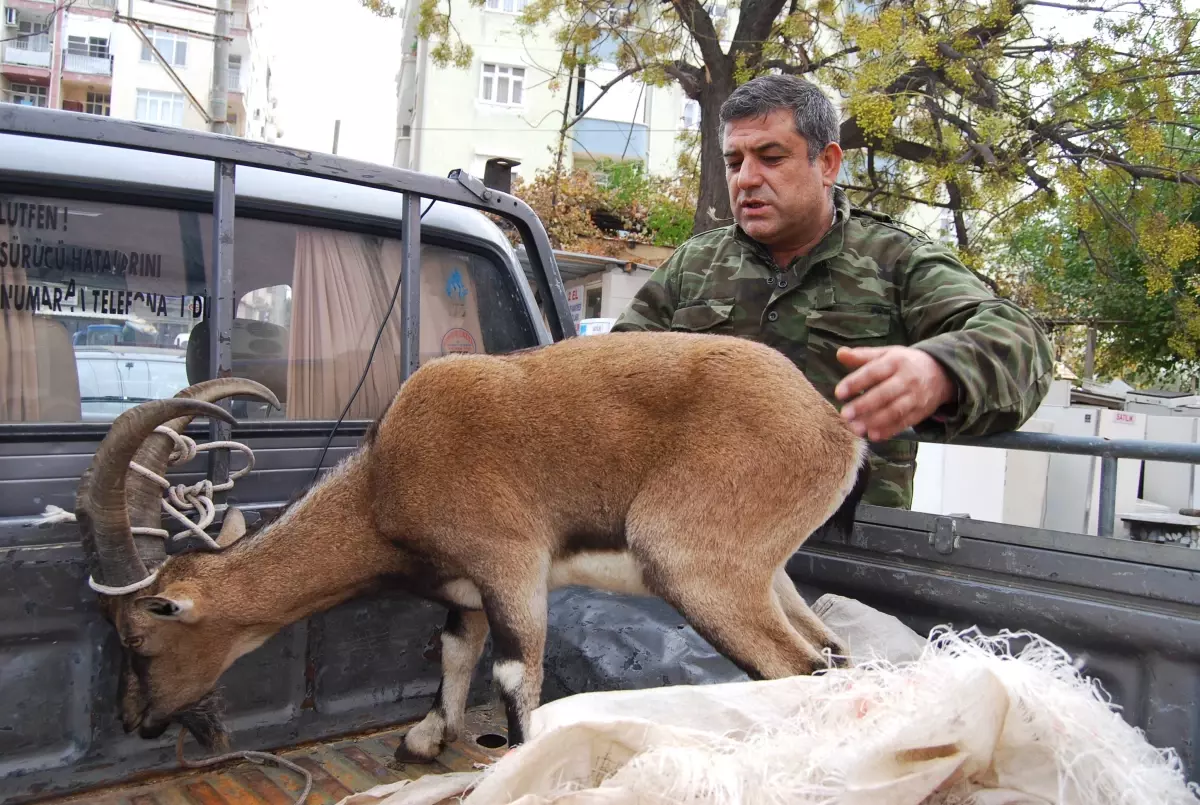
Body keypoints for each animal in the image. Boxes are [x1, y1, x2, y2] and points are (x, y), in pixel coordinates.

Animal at [75, 331, 868, 763]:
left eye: (139, 636)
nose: (135, 721)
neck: (383, 484)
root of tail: (834, 429)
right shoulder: (468, 590)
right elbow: (455, 652)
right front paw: (426, 738)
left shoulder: (509, 561)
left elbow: (514, 676)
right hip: (769, 573)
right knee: (834, 652)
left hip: (693, 561)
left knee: (797, 668)